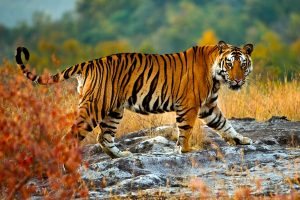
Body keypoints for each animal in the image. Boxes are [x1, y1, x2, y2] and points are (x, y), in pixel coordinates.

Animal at [15, 40, 253, 159]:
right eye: (230, 64)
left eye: (243, 64)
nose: (238, 80)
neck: (216, 76)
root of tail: (89, 63)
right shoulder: (189, 105)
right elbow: (185, 129)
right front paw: (185, 150)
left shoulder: (208, 106)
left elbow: (224, 124)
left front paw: (241, 140)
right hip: (94, 108)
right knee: (71, 136)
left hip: (113, 110)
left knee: (104, 137)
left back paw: (121, 155)